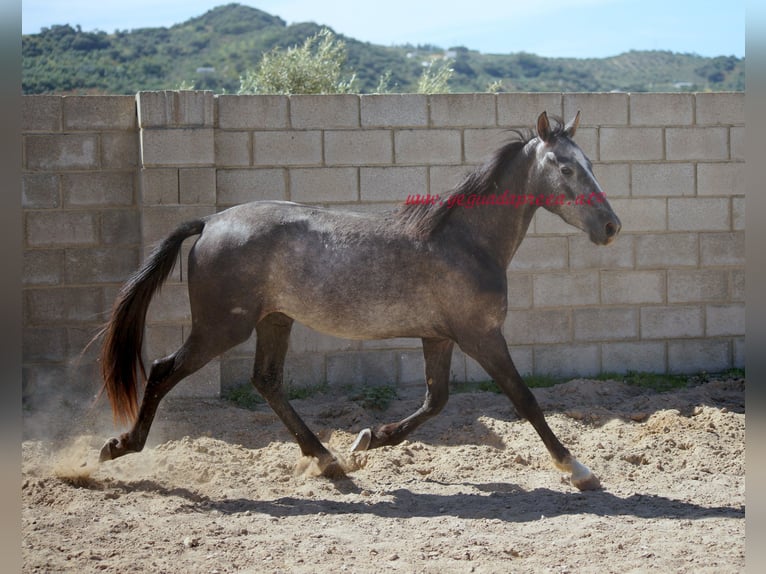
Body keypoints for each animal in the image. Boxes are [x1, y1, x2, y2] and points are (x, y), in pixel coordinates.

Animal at [97, 111, 624, 490]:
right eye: (565, 167)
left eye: (591, 164)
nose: (611, 226)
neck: (466, 242)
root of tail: (209, 222)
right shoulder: (482, 336)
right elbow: (525, 399)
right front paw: (578, 470)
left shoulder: (439, 337)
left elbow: (435, 401)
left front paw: (369, 439)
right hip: (222, 327)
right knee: (164, 370)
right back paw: (118, 447)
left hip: (274, 320)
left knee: (266, 382)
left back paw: (328, 460)